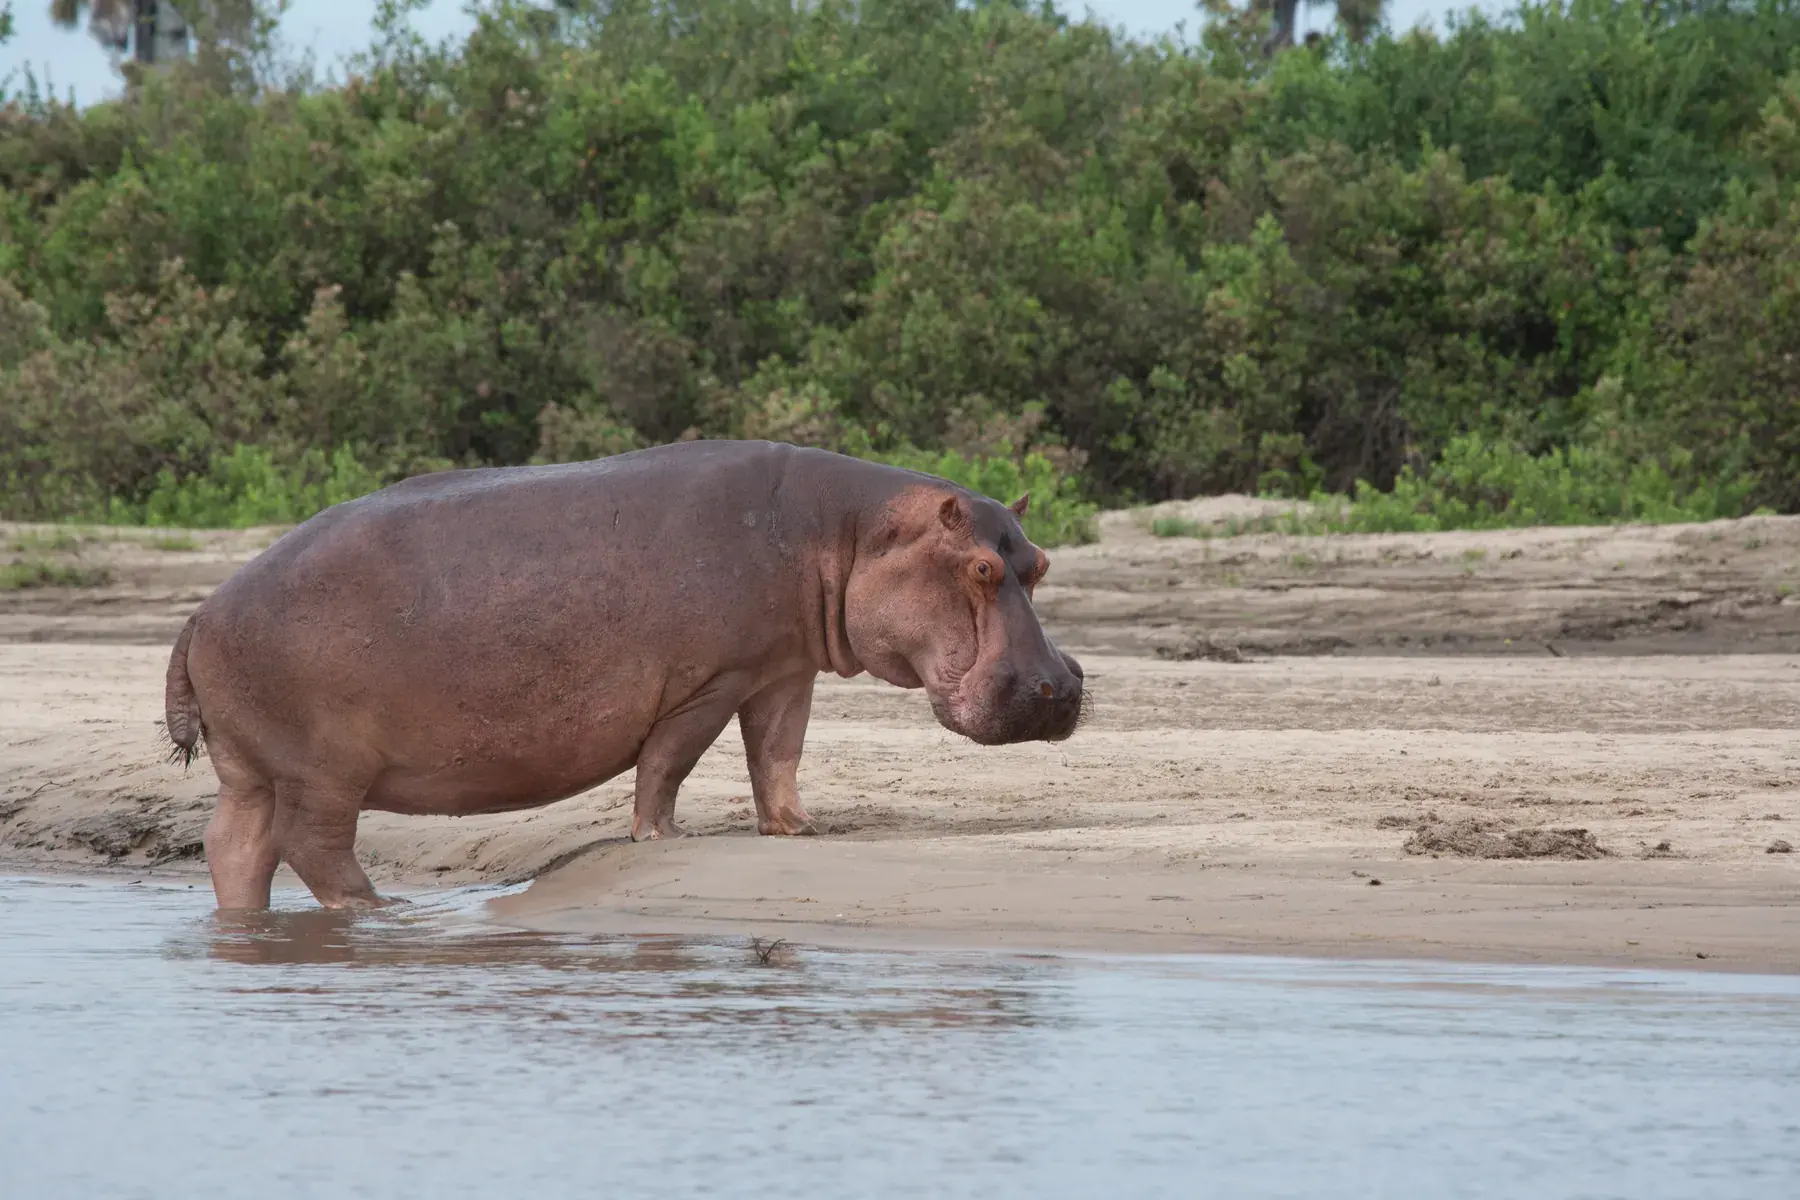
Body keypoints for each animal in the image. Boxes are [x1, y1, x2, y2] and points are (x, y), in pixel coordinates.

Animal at [163, 439, 1086, 909]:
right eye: (979, 569)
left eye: (1037, 563)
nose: (1056, 689)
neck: (850, 532)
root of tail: (200, 613)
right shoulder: (711, 680)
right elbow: (671, 762)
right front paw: (664, 839)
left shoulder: (780, 670)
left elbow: (778, 754)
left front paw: (799, 831)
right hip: (321, 770)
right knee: (314, 846)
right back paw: (378, 911)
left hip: (249, 768)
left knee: (235, 846)